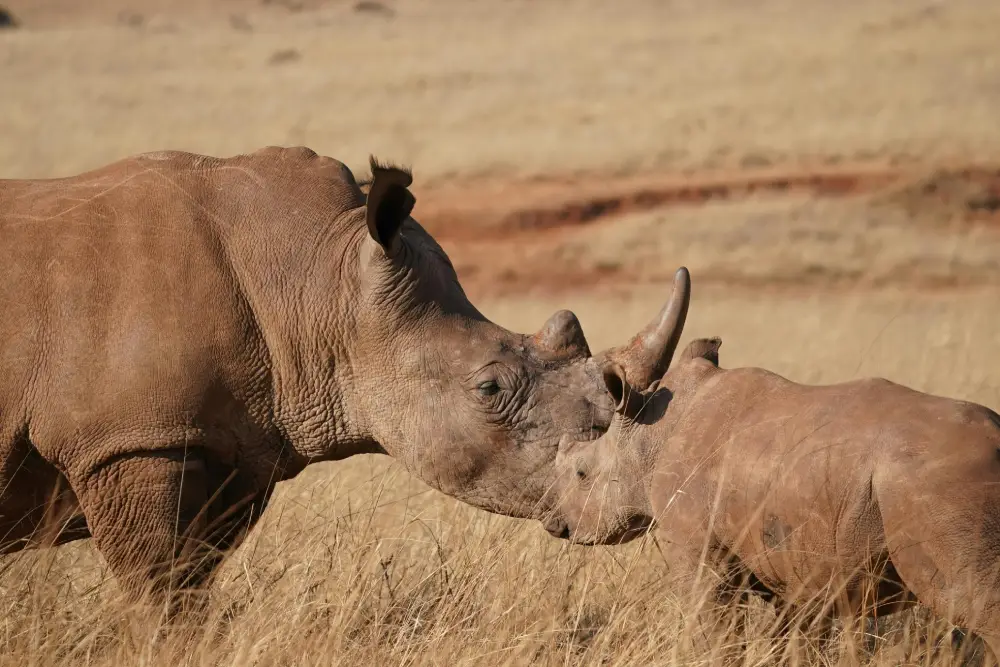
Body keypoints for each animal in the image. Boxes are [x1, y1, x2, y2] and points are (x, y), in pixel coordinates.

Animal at [548, 268, 1000, 664]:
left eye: (582, 474)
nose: (556, 526)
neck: (648, 437)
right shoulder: (792, 566)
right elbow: (790, 640)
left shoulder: (698, 551)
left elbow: (715, 631)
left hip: (938, 486)